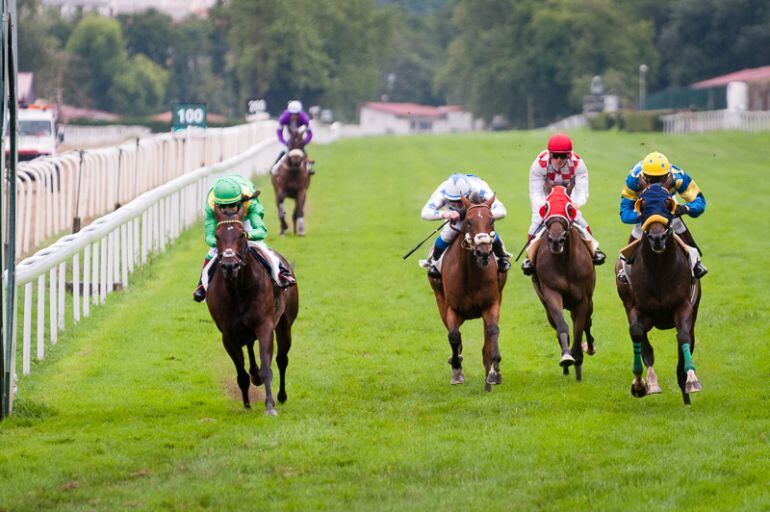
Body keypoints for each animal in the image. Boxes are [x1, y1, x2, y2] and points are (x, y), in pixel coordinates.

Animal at [206, 198, 298, 414]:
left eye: (242, 235)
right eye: (217, 235)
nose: (230, 265)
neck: (238, 289)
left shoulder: (265, 326)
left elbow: (267, 367)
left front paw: (270, 405)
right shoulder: (228, 335)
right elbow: (241, 372)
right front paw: (247, 404)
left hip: (285, 324)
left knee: (282, 359)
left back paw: (282, 395)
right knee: (249, 347)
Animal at [426, 194, 504, 390]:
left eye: (492, 221)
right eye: (469, 221)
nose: (483, 252)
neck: (471, 274)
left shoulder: (491, 304)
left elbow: (492, 331)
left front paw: (494, 371)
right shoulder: (451, 308)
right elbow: (454, 335)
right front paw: (456, 369)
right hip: (439, 300)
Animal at [532, 187, 596, 380]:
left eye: (569, 209)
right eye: (546, 207)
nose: (555, 240)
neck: (565, 262)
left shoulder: (583, 300)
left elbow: (579, 329)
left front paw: (578, 359)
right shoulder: (551, 293)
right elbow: (562, 326)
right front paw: (567, 357)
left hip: (587, 302)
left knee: (587, 322)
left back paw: (589, 348)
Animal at [612, 184, 704, 404]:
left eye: (668, 206)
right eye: (643, 206)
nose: (657, 238)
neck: (659, 271)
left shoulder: (683, 306)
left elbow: (683, 337)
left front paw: (691, 380)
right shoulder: (637, 309)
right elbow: (638, 335)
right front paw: (641, 384)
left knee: (687, 340)